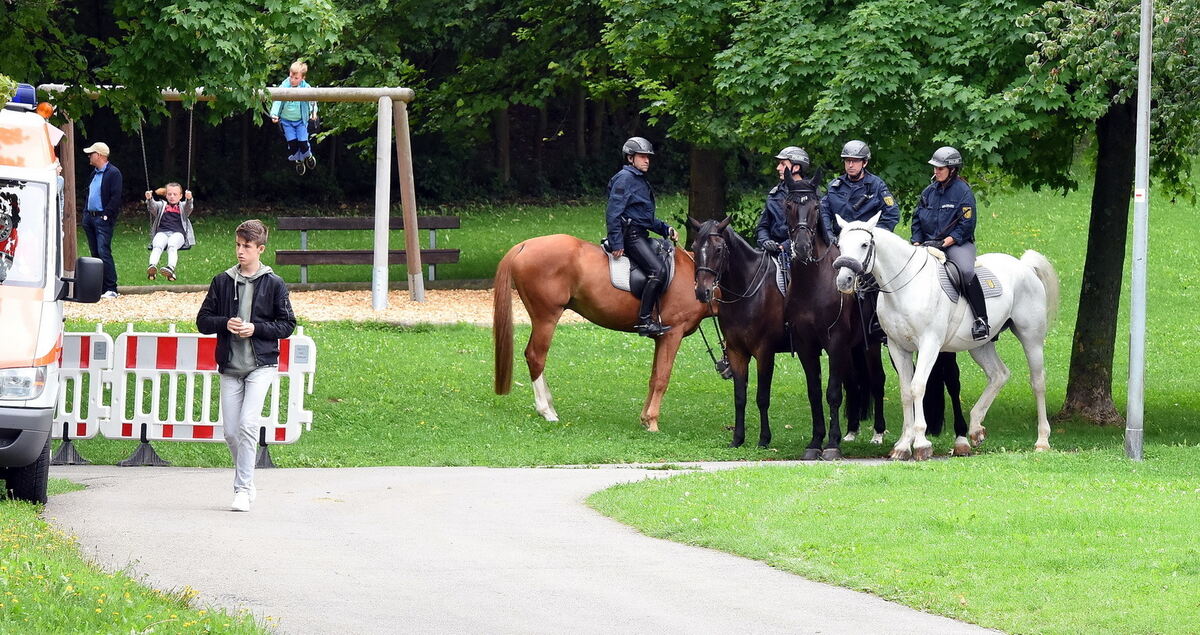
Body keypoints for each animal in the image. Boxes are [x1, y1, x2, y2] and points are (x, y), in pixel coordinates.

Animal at [496, 234, 710, 429]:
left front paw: (645, 418)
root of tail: (524, 245)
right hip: (546, 318)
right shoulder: (673, 334)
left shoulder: (661, 338)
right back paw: (546, 411)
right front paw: (652, 422)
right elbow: (662, 379)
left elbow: (654, 376)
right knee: (536, 357)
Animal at [691, 214, 792, 448]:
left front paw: (764, 439)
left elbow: (762, 397)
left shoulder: (765, 352)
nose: (702, 291)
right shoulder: (736, 352)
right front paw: (737, 438)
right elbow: (739, 397)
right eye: (693, 247)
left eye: (719, 249)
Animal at [835, 212, 1060, 460]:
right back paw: (975, 428)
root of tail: (1024, 266)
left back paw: (1042, 440)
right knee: (999, 374)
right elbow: (905, 392)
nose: (844, 281)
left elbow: (917, 387)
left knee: (1038, 383)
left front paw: (921, 443)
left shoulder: (929, 344)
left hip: (1031, 339)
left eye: (864, 245)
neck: (905, 287)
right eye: (839, 245)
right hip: (980, 345)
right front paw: (903, 445)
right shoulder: (897, 347)